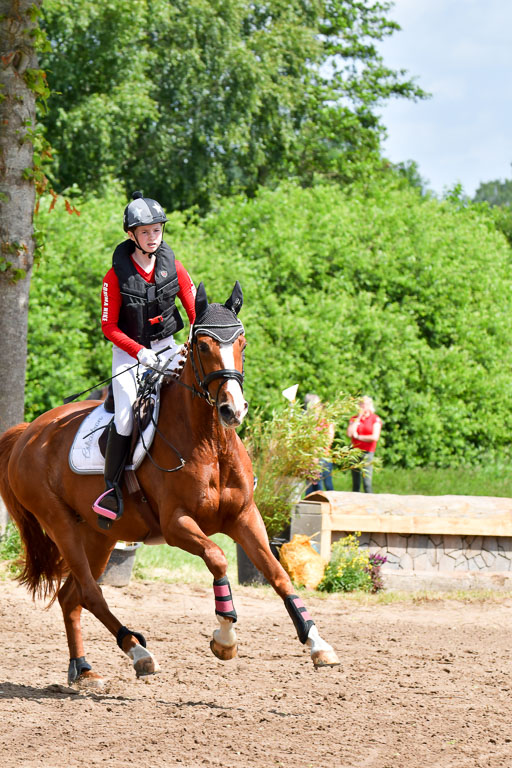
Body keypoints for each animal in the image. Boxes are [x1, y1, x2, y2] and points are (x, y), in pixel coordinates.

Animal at [0, 281, 339, 686]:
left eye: (242, 342)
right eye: (203, 346)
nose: (233, 410)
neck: (210, 443)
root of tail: (28, 432)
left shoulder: (244, 517)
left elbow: (278, 575)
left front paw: (318, 643)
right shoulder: (176, 524)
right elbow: (218, 558)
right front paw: (225, 638)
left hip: (100, 535)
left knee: (73, 597)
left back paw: (84, 669)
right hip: (61, 525)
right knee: (90, 593)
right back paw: (138, 652)